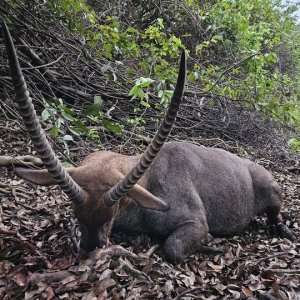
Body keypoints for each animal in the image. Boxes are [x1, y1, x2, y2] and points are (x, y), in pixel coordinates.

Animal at [2, 22, 292, 264]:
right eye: (77, 215)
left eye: (110, 216)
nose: (91, 248)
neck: (149, 181)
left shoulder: (196, 222)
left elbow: (173, 248)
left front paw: (208, 244)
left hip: (272, 192)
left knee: (275, 214)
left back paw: (283, 229)